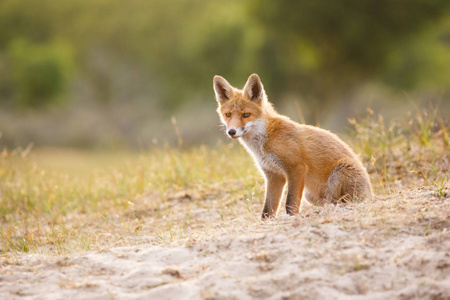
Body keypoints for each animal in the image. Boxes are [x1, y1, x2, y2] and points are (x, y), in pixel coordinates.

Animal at [214, 72, 372, 218]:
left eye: (246, 115)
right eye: (228, 115)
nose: (232, 131)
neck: (264, 141)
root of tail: (371, 193)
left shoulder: (296, 168)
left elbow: (290, 203)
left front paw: (291, 217)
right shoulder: (273, 175)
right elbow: (267, 210)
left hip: (340, 172)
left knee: (340, 201)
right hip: (310, 194)